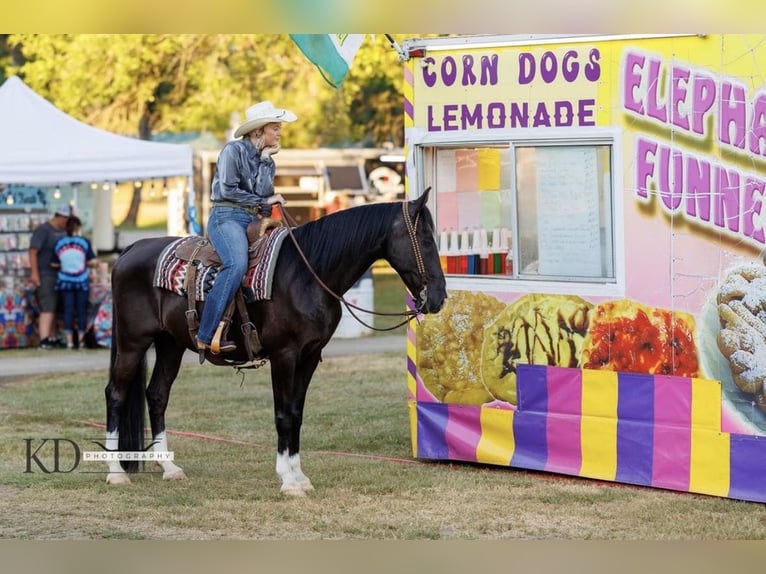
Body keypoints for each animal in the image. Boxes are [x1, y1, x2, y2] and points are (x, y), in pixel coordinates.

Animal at [103, 189, 450, 496]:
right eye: (425, 240)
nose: (438, 297)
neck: (308, 273)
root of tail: (131, 250)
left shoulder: (310, 356)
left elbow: (296, 413)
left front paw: (300, 476)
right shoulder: (285, 355)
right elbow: (283, 414)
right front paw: (288, 481)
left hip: (170, 344)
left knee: (157, 394)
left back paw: (169, 468)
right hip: (133, 342)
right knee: (116, 393)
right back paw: (116, 471)